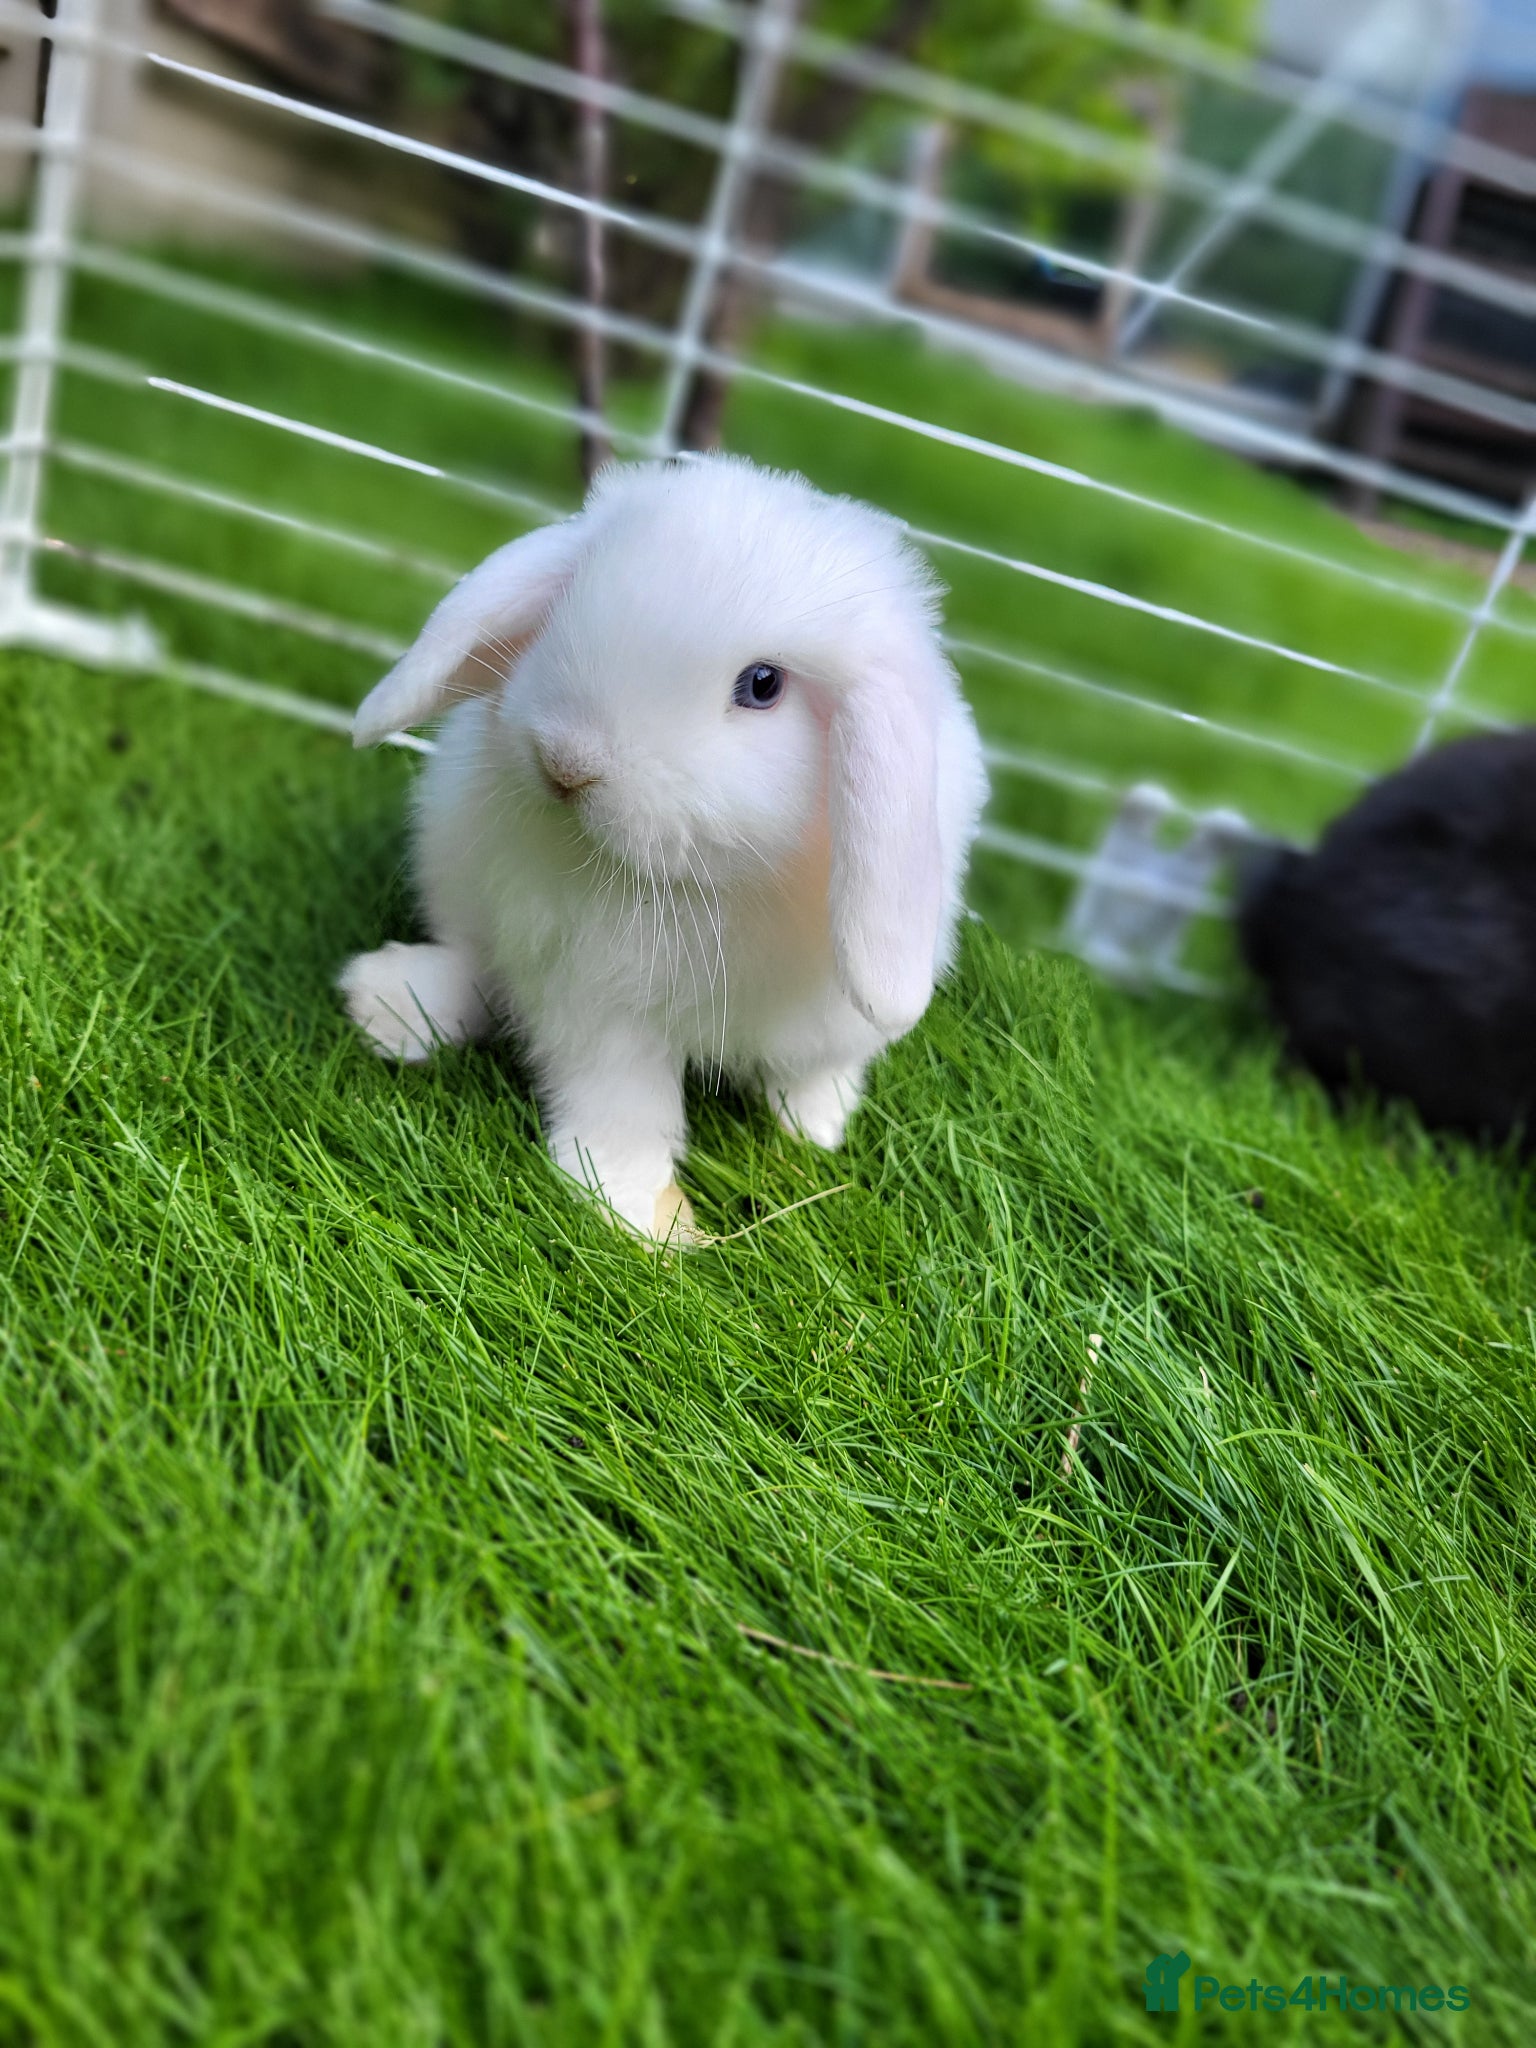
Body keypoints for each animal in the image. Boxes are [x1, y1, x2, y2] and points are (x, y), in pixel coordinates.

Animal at [338, 455, 989, 1238]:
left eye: (763, 684)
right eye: (572, 599)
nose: (567, 763)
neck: (691, 886)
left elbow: (812, 1077)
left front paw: (814, 1134)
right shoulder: (599, 1004)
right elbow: (622, 1105)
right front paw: (634, 1212)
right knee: (476, 968)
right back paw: (385, 1005)